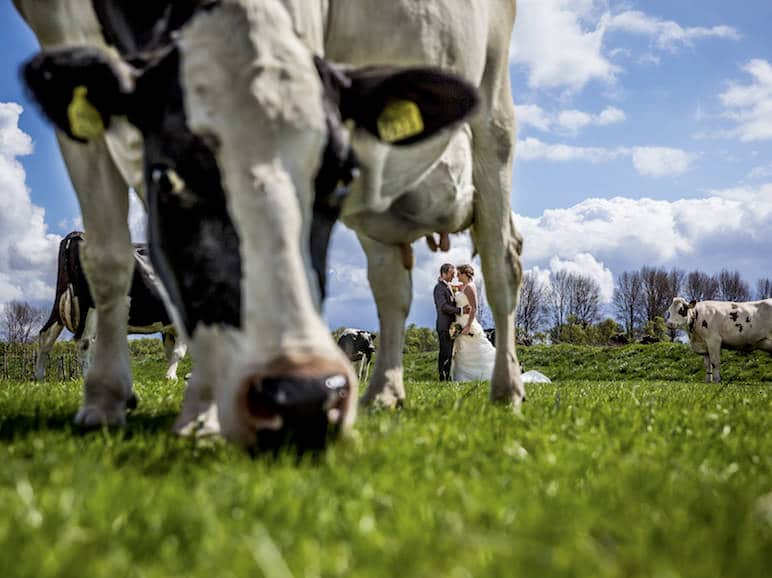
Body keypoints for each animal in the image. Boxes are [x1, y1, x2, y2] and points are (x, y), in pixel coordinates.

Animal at [37, 230, 187, 382]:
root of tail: (78, 234)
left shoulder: (168, 327)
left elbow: (170, 351)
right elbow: (178, 352)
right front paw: (171, 377)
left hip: (59, 302)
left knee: (46, 335)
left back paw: (39, 377)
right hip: (92, 307)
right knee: (84, 342)